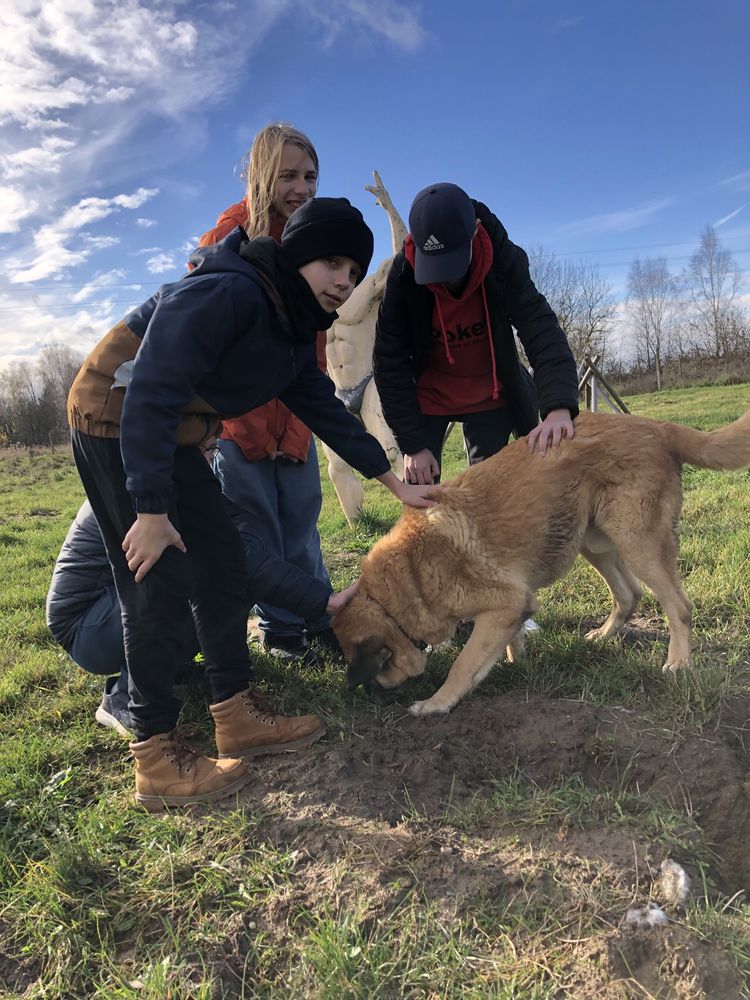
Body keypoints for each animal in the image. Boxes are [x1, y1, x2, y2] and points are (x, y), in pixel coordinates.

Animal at [334, 410, 750, 716]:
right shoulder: (509, 608)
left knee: (678, 605)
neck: (398, 589)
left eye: (377, 670)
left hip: (637, 542)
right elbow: (504, 645)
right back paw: (602, 636)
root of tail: (657, 427)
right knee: (630, 594)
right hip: (592, 541)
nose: (369, 700)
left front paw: (437, 703)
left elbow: (463, 664)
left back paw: (678, 663)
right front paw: (516, 663)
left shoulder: (505, 604)